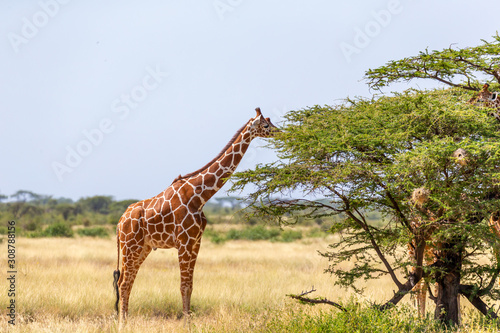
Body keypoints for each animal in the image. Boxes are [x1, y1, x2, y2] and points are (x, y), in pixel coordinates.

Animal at [113, 107, 278, 322]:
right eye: (266, 125)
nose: (280, 132)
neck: (200, 195)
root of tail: (119, 223)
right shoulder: (184, 242)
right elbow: (183, 286)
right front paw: (186, 323)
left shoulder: (196, 241)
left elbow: (190, 286)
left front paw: (189, 320)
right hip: (130, 246)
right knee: (124, 282)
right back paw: (122, 323)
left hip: (143, 247)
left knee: (126, 280)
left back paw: (124, 319)